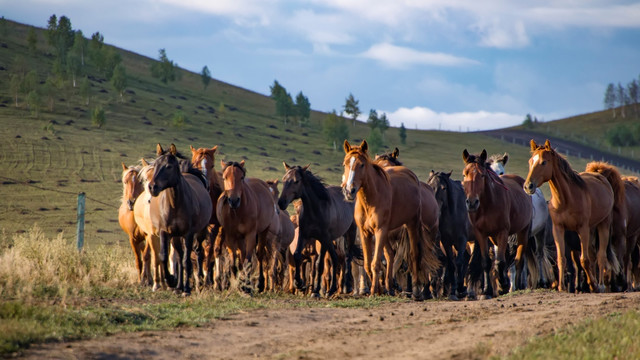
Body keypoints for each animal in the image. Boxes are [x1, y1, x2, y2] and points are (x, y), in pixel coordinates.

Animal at [148, 146, 212, 296]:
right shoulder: (165, 232)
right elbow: (164, 256)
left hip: (199, 233)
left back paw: (198, 281)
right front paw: (171, 281)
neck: (175, 204)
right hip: (176, 237)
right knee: (179, 255)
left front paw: (187, 289)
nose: (152, 187)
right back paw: (178, 287)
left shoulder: (188, 234)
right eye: (155, 165)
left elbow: (186, 261)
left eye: (168, 166)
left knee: (198, 252)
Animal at [216, 160, 278, 292]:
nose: (234, 200)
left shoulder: (250, 235)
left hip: (263, 232)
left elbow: (248, 261)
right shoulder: (230, 236)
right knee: (242, 256)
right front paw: (236, 284)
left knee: (259, 255)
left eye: (241, 177)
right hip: (240, 238)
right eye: (224, 177)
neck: (238, 212)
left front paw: (247, 286)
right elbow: (234, 263)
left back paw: (259, 284)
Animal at [340, 139, 440, 300]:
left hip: (412, 226)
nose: (349, 190)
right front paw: (380, 289)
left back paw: (417, 291)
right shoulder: (365, 233)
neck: (371, 199)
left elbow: (376, 263)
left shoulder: (380, 230)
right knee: (390, 255)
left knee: (414, 255)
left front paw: (374, 290)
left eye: (362, 164)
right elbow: (368, 263)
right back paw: (391, 288)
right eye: (345, 164)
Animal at [460, 149, 536, 298]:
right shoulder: (482, 234)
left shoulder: (502, 232)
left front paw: (504, 286)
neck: (488, 204)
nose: (471, 203)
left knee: (518, 260)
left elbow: (501, 261)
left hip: (522, 232)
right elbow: (487, 262)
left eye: (482, 175)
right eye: (465, 174)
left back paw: (516, 285)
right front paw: (487, 290)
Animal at [524, 139, 616, 294]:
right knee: (592, 256)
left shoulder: (582, 229)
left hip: (603, 225)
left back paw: (600, 285)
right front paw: (561, 287)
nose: (528, 186)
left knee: (600, 256)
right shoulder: (558, 229)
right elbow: (561, 259)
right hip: (591, 230)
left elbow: (584, 260)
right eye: (531, 161)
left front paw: (593, 285)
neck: (567, 199)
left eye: (544, 162)